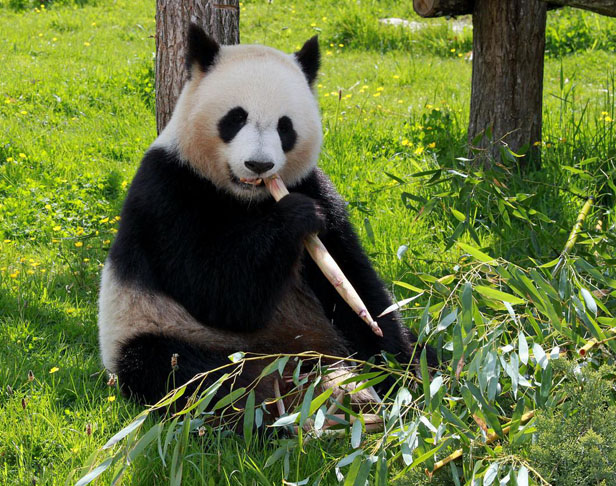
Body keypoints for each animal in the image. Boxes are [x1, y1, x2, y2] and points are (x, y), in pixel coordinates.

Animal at [100, 24, 428, 408]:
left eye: (285, 127)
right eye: (235, 118)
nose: (259, 164)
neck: (247, 198)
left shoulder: (314, 185)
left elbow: (355, 282)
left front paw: (397, 369)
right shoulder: (168, 190)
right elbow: (217, 291)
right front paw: (296, 216)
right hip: (157, 327)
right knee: (180, 372)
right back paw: (265, 405)